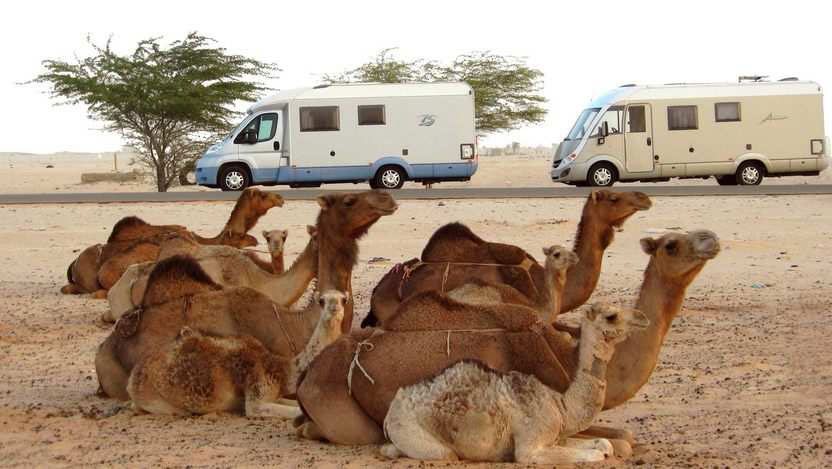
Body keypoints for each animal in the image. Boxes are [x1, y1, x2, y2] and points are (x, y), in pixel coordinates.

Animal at [294, 229, 720, 448]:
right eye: (671, 244)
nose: (711, 239)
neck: (565, 359)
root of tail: (306, 377)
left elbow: (624, 433)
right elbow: (620, 439)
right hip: (343, 413)